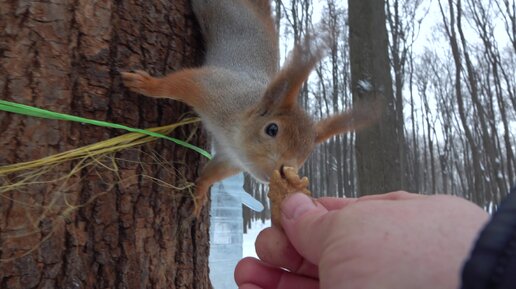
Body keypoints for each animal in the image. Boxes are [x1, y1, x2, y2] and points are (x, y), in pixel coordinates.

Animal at [121, 0, 374, 214]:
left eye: (308, 151)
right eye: (272, 129)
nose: (281, 173)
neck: (235, 135)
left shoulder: (231, 159)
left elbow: (213, 174)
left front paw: (199, 194)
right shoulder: (214, 88)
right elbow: (179, 83)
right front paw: (147, 84)